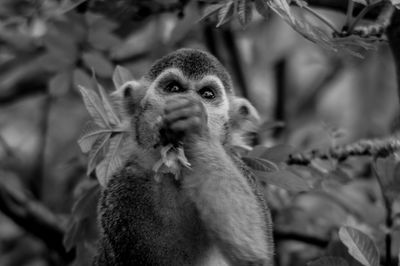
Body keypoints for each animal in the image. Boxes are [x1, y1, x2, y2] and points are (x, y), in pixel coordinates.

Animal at [94, 48, 276, 266]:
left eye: (207, 94)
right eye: (174, 88)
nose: (187, 100)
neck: (175, 172)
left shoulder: (240, 168)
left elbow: (254, 253)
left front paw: (194, 125)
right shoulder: (122, 187)